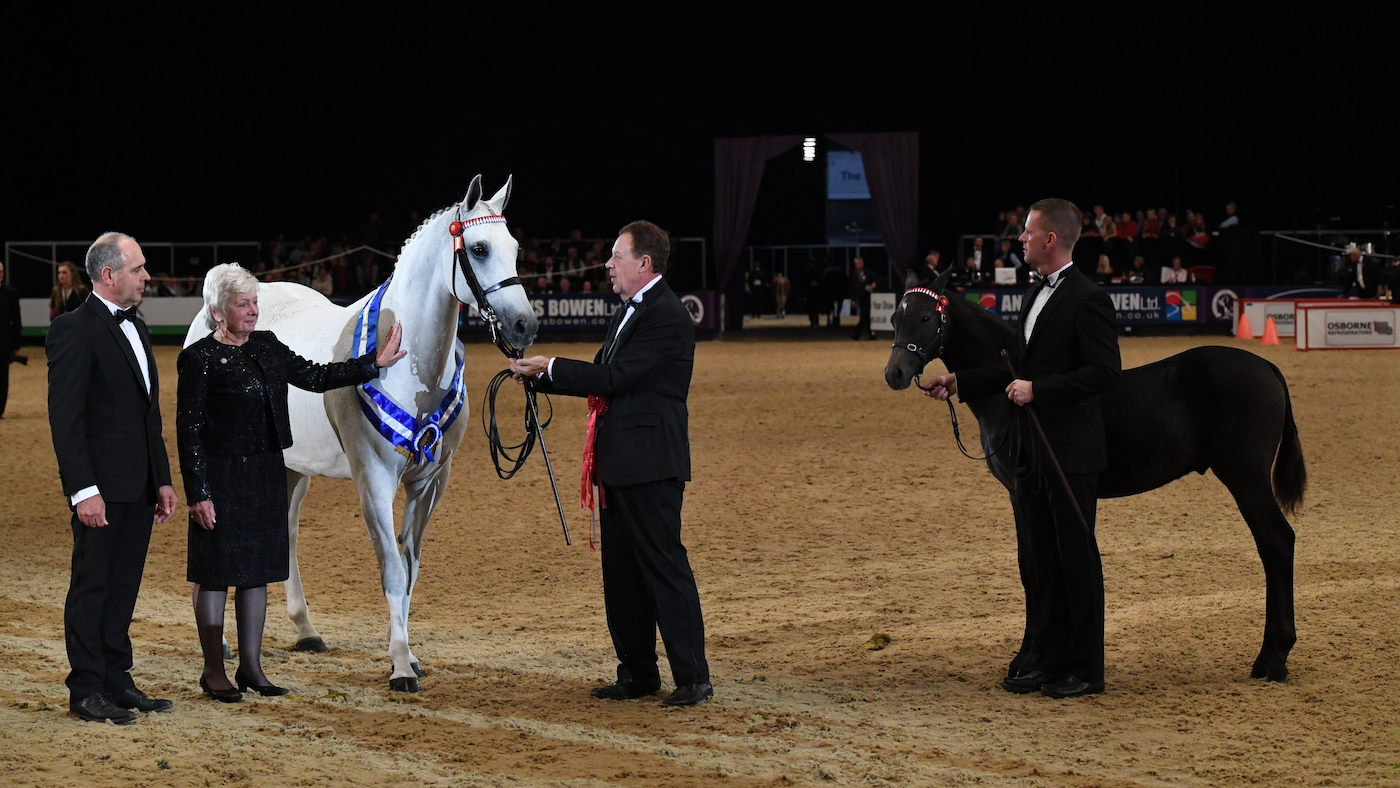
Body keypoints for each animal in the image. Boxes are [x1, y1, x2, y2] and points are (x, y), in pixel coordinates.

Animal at [184, 175, 538, 691]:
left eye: (515, 247)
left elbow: (409, 568)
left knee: (286, 532)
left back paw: (306, 630)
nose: (524, 325)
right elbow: (390, 566)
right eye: (478, 247)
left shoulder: (431, 482)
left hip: (292, 468)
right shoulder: (374, 477)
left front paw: (408, 657)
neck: (412, 370)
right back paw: (225, 644)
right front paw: (400, 667)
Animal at [883, 268, 1304, 682]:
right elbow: (1031, 566)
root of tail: (1267, 367)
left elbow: (1035, 568)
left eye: (926, 318)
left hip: (1246, 479)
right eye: (894, 318)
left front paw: (1027, 661)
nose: (895, 373)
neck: (1007, 397)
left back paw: (1272, 659)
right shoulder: (1021, 496)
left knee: (1276, 543)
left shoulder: (1025, 489)